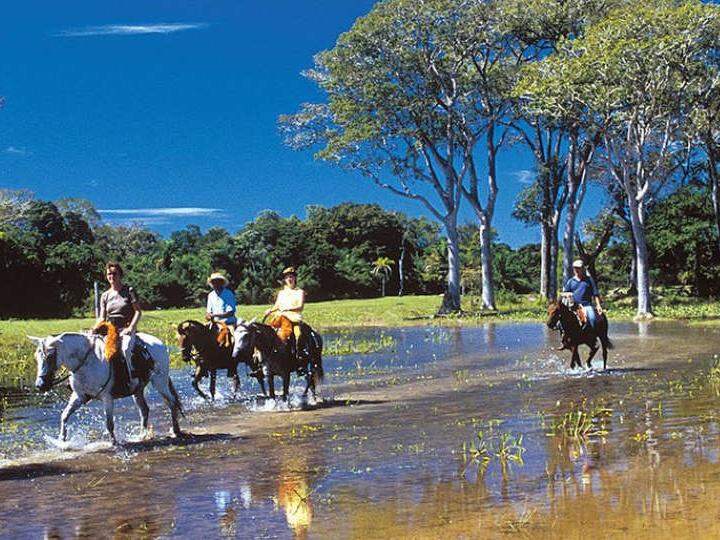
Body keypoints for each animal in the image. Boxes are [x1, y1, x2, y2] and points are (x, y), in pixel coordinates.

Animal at [28, 334, 183, 442]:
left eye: (50, 356)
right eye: (36, 356)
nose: (40, 385)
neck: (87, 362)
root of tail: (160, 344)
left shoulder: (107, 398)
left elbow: (109, 423)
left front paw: (114, 443)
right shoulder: (79, 396)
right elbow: (65, 415)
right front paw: (62, 440)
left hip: (160, 383)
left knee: (172, 403)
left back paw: (175, 430)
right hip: (138, 390)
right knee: (144, 410)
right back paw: (142, 435)